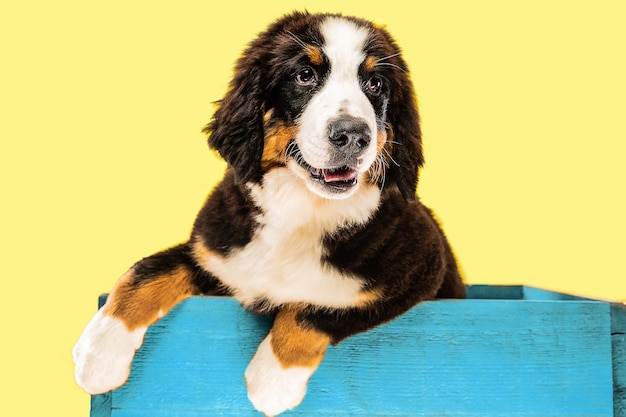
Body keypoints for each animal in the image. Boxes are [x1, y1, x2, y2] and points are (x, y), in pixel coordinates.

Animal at [72, 11, 464, 414]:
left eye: (374, 83)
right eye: (304, 75)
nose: (354, 135)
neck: (301, 210)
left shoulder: (421, 269)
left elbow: (320, 308)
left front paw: (273, 379)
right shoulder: (212, 251)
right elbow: (148, 272)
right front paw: (98, 354)